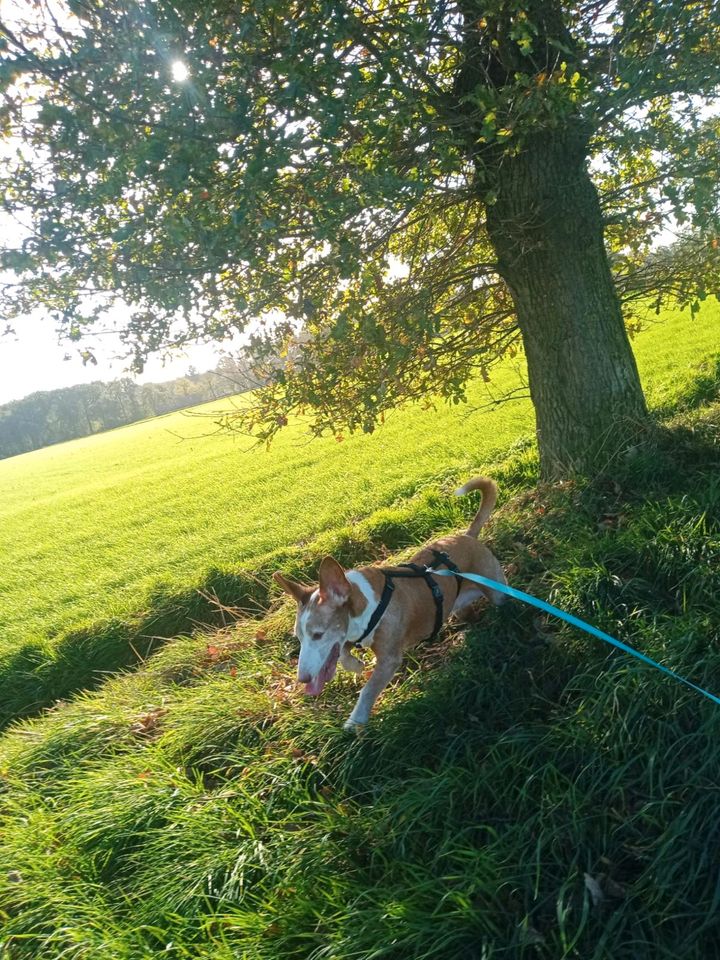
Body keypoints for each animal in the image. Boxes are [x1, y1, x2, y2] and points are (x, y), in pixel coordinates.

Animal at [274, 476, 506, 732]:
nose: (303, 679)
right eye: (299, 638)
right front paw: (355, 665)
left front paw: (355, 720)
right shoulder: (351, 636)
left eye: (318, 635)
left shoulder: (388, 658)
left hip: (496, 588)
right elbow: (343, 653)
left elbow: (368, 689)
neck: (368, 604)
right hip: (460, 607)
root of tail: (467, 536)